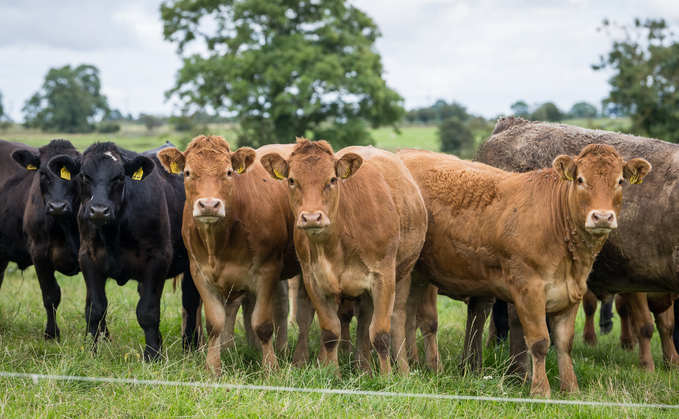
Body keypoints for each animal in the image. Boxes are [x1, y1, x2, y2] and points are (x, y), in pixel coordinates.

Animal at [0, 140, 81, 342]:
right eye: (42, 173)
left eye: (75, 173)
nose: (57, 206)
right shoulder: (39, 253)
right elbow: (51, 295)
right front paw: (51, 334)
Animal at [49, 142, 202, 360]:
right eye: (84, 176)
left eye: (120, 177)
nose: (99, 210)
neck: (113, 233)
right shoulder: (88, 258)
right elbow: (95, 309)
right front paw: (90, 351)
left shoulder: (158, 259)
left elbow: (148, 311)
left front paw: (152, 355)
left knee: (190, 302)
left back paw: (189, 345)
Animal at [159, 136, 300, 376]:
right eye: (187, 172)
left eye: (228, 172)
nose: (208, 205)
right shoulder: (199, 273)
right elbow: (215, 322)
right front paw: (213, 368)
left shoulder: (268, 271)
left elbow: (263, 323)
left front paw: (270, 368)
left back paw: (281, 349)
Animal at [260, 139, 424, 376]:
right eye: (291, 180)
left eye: (332, 179)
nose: (312, 217)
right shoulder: (313, 279)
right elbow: (330, 333)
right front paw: (332, 373)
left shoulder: (384, 277)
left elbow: (380, 334)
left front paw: (387, 377)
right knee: (362, 324)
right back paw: (361, 367)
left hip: (403, 273)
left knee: (391, 322)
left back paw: (396, 369)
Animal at [398, 146, 652, 398]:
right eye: (580, 180)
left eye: (620, 181)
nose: (602, 217)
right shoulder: (529, 288)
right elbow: (539, 342)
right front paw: (540, 390)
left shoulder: (572, 293)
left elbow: (565, 344)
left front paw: (571, 389)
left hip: (419, 275)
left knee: (409, 314)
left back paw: (413, 362)